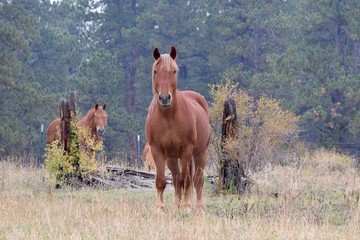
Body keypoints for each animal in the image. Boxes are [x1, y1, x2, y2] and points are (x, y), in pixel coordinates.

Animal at [145, 47, 210, 212]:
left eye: (174, 71)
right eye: (155, 71)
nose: (164, 98)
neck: (168, 117)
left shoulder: (186, 150)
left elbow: (185, 179)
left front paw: (186, 206)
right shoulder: (157, 150)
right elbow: (161, 180)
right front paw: (160, 208)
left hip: (200, 153)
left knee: (197, 179)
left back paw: (198, 207)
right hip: (172, 158)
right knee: (175, 178)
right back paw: (177, 205)